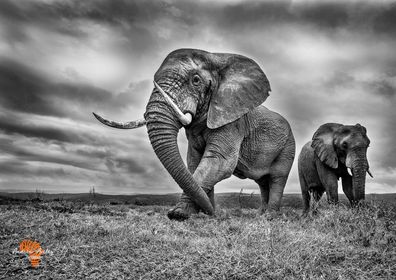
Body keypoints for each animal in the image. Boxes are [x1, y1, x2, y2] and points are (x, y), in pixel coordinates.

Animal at [93, 48, 294, 220]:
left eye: (195, 80)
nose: (218, 214)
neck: (216, 58)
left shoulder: (233, 122)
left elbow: (219, 161)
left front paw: (179, 214)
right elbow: (194, 161)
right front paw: (201, 213)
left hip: (288, 147)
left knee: (277, 178)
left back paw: (270, 216)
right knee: (262, 182)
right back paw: (261, 214)